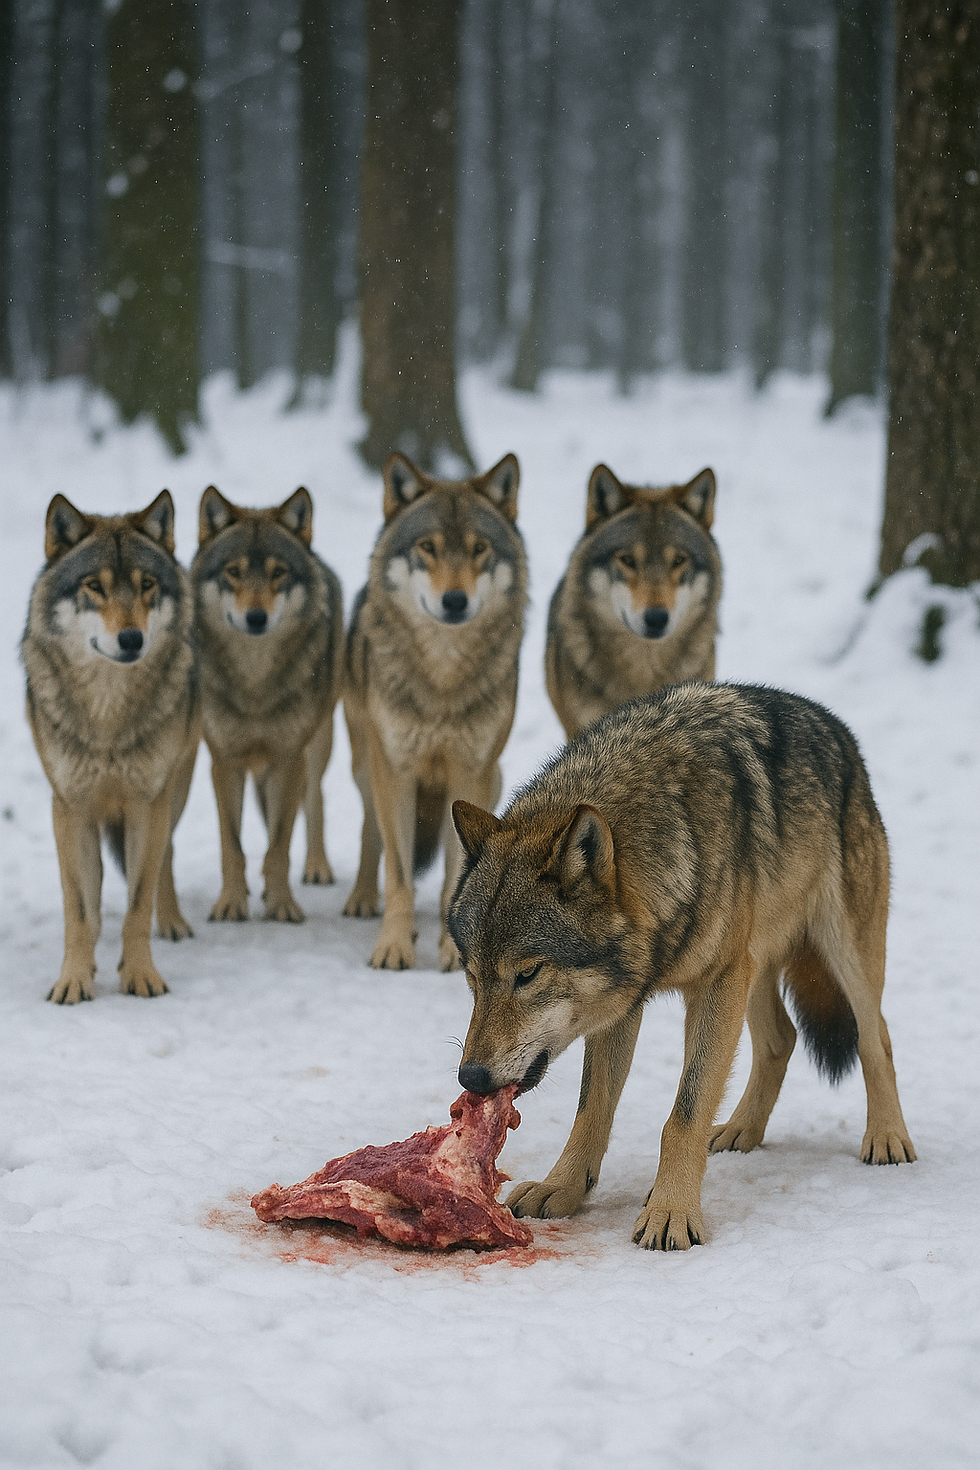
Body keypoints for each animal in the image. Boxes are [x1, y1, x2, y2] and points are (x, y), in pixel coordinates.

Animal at [22, 491, 199, 1003]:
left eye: (146, 585)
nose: (132, 638)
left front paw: (140, 975)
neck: (108, 718)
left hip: (175, 791)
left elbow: (139, 901)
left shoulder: (146, 804)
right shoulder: (70, 807)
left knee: (166, 858)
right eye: (94, 587)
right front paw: (74, 979)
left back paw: (172, 923)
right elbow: (80, 909)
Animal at [192, 486, 343, 922]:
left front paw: (281, 905)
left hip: (318, 744)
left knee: (315, 800)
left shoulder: (288, 758)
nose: (256, 618)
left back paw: (317, 867)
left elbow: (279, 844)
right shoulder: (224, 761)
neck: (254, 683)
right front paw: (231, 903)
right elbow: (232, 845)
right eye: (233, 572)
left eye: (278, 573)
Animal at [343, 451, 528, 971]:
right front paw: (393, 946)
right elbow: (400, 872)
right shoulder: (396, 770)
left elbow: (455, 874)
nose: (455, 601)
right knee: (372, 834)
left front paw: (453, 949)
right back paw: (362, 900)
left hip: (496, 775)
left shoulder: (472, 772)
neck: (442, 679)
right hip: (366, 766)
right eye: (427, 548)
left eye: (479, 549)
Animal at [448, 683, 916, 1250]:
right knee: (781, 1038)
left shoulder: (716, 983)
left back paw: (887, 1138)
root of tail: (836, 729)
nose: (471, 1077)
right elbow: (591, 1108)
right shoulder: (625, 1000)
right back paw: (740, 1131)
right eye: (472, 976)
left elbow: (684, 1115)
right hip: (753, 967)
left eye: (528, 973)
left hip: (840, 950)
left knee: (876, 1036)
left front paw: (670, 1212)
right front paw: (563, 1189)